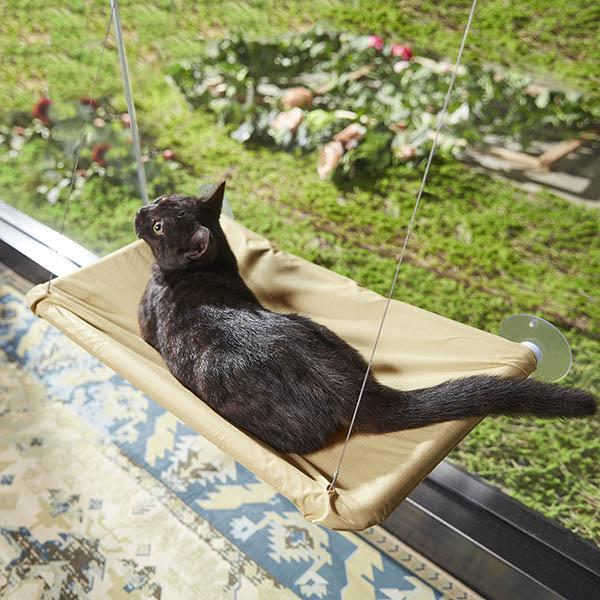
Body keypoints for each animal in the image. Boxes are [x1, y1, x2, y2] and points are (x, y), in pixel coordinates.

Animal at [135, 183, 596, 454]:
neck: (211, 269)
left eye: (158, 226)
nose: (141, 210)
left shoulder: (146, 318)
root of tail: (353, 387)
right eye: (160, 199)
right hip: (315, 326)